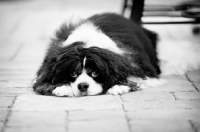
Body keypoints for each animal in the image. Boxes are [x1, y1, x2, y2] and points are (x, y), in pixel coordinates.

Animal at [32, 12, 161, 96]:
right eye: (73, 73)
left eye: (95, 72)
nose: (82, 86)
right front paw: (62, 87)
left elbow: (133, 76)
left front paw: (119, 86)